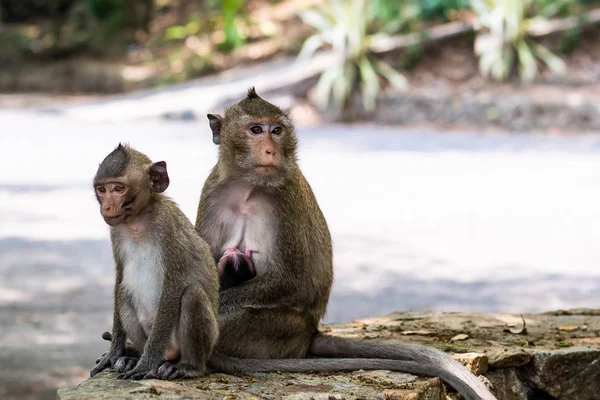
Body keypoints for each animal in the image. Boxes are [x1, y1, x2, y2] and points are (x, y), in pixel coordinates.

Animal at [89, 144, 220, 382]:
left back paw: (188, 366)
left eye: (118, 188)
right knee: (123, 292)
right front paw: (114, 353)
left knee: (192, 295)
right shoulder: (116, 232)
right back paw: (133, 356)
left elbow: (174, 287)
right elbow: (120, 278)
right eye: (102, 190)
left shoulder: (168, 229)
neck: (137, 222)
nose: (107, 207)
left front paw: (145, 365)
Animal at [196, 88, 496, 400]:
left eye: (276, 131)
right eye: (256, 130)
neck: (249, 187)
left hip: (282, 332)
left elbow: (290, 279)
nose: (271, 150)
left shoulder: (286, 199)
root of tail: (311, 334)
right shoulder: (213, 190)